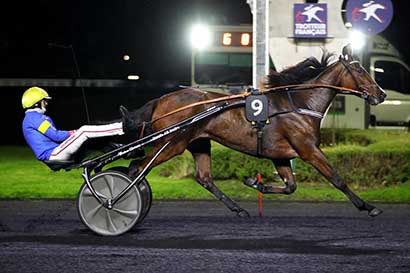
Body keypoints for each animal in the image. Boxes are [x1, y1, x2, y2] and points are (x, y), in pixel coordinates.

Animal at [126, 45, 386, 218]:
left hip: (198, 142)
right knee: (137, 168)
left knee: (204, 178)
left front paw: (254, 182)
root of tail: (161, 100)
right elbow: (337, 178)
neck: (301, 103)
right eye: (360, 71)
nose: (381, 94)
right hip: (171, 144)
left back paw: (239, 209)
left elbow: (291, 186)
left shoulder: (280, 155)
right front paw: (368, 206)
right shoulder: (308, 149)